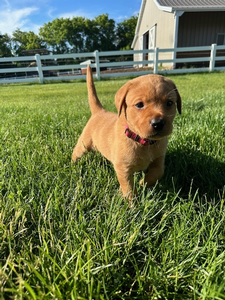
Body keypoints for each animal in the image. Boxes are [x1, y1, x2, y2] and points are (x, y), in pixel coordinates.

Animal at [72, 65, 181, 202]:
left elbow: (157, 173)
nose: (158, 123)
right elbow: (129, 189)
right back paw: (72, 165)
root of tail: (99, 111)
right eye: (139, 104)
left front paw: (143, 183)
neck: (143, 142)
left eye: (170, 103)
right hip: (84, 144)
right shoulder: (123, 168)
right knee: (76, 152)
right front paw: (133, 204)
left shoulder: (159, 159)